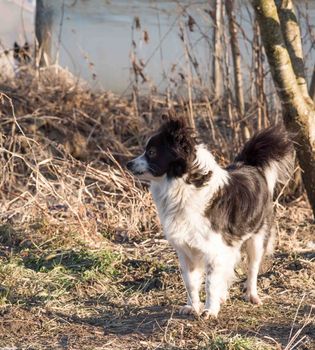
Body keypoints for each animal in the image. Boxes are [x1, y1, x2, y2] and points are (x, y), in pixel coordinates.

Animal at [127, 119, 296, 318]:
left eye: (152, 152)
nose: (128, 164)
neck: (183, 188)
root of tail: (250, 165)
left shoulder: (214, 250)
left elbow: (210, 283)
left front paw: (209, 310)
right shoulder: (186, 251)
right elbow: (191, 283)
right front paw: (193, 307)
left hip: (257, 239)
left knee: (252, 269)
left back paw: (252, 295)